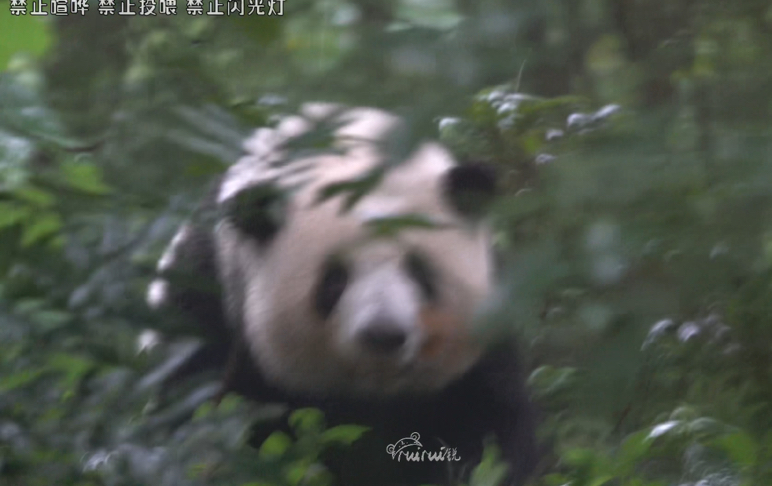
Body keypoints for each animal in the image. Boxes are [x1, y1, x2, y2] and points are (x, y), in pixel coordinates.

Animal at [148, 102, 540, 486]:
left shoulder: (487, 338)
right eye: (335, 280)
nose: (383, 334)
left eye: (419, 271)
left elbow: (487, 427)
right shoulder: (207, 300)